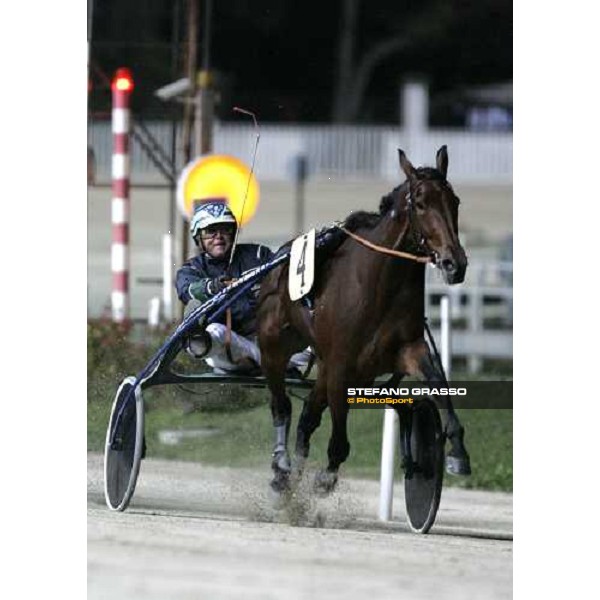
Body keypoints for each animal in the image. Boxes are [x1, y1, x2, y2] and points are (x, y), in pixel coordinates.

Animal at [255, 148, 472, 494]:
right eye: (421, 203)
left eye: (455, 201)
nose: (455, 263)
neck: (379, 285)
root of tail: (278, 261)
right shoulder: (341, 364)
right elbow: (339, 443)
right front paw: (325, 477)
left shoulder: (407, 350)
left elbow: (438, 382)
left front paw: (457, 453)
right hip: (274, 349)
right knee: (282, 406)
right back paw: (281, 467)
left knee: (307, 416)